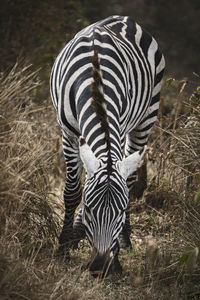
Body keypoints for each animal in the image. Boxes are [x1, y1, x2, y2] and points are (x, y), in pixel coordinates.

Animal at [49, 14, 164, 276]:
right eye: (91, 209)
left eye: (120, 212)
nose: (101, 267)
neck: (95, 82)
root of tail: (122, 18)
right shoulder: (69, 134)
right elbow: (73, 191)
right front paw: (64, 245)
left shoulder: (118, 130)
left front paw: (117, 253)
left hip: (147, 116)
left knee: (130, 178)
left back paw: (124, 238)